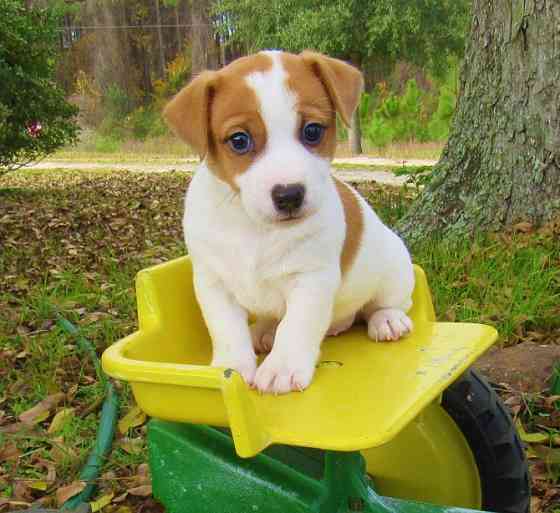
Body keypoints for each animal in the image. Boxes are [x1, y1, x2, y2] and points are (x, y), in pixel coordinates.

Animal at [164, 50, 414, 394]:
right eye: (239, 140)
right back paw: (266, 330)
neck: (254, 226)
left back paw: (387, 319)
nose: (289, 195)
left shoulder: (311, 279)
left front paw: (281, 367)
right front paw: (231, 367)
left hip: (394, 272)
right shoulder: (213, 282)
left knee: (386, 304)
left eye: (312, 131)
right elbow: (227, 330)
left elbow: (296, 326)